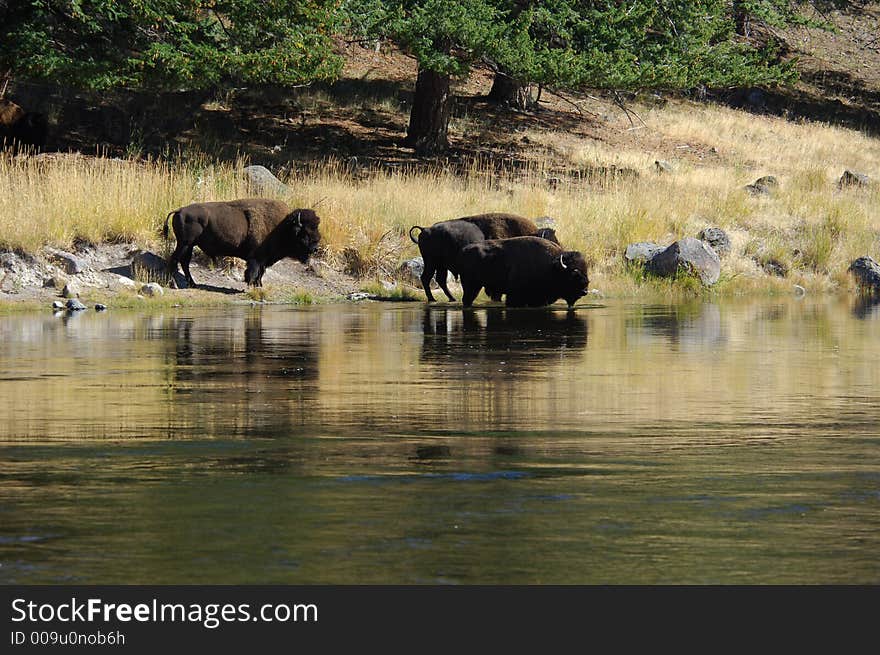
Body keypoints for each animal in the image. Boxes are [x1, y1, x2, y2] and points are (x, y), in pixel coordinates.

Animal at [163, 199, 322, 288]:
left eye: (316, 228)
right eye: (305, 233)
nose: (315, 249)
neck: (282, 227)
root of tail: (179, 210)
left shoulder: (264, 259)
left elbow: (261, 272)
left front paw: (259, 285)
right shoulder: (256, 258)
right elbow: (254, 271)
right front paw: (251, 284)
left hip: (189, 245)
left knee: (184, 262)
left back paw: (193, 284)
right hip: (184, 243)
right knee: (174, 260)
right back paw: (174, 284)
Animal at [410, 213, 560, 302]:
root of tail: (425, 229)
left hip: (441, 265)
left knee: (440, 280)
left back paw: (452, 298)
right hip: (431, 262)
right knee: (426, 278)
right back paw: (433, 299)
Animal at [458, 237, 588, 308]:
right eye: (574, 274)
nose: (584, 291)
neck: (552, 266)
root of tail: (464, 249)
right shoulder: (514, 297)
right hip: (471, 286)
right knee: (467, 299)